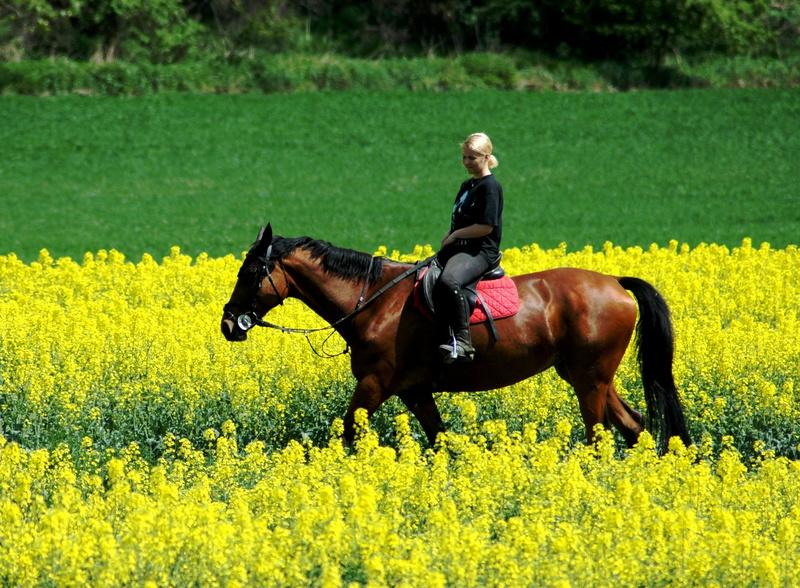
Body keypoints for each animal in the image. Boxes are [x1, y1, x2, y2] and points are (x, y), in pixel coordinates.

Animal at [221, 225, 692, 454]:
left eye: (250, 272)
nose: (228, 324)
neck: (376, 300)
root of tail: (614, 282)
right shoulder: (413, 391)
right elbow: (441, 440)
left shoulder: (374, 384)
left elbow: (347, 431)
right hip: (587, 375)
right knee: (634, 426)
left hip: (589, 379)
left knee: (599, 435)